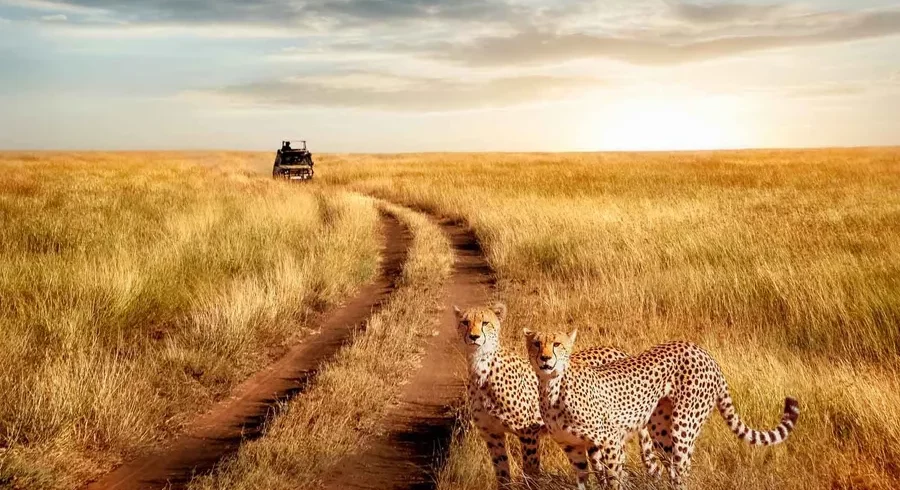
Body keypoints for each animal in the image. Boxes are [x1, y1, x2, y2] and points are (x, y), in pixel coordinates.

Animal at [454, 302, 664, 486]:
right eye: (465, 322)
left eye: (485, 323)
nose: (474, 337)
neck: (481, 368)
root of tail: (617, 350)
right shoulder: (492, 435)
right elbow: (502, 474)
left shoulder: (528, 432)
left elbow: (530, 471)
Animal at [524, 330, 800, 490]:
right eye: (536, 344)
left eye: (557, 344)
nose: (545, 358)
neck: (552, 388)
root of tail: (703, 352)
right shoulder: (573, 448)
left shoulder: (611, 441)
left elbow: (613, 480)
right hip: (659, 430)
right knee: (671, 465)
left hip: (684, 426)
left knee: (682, 470)